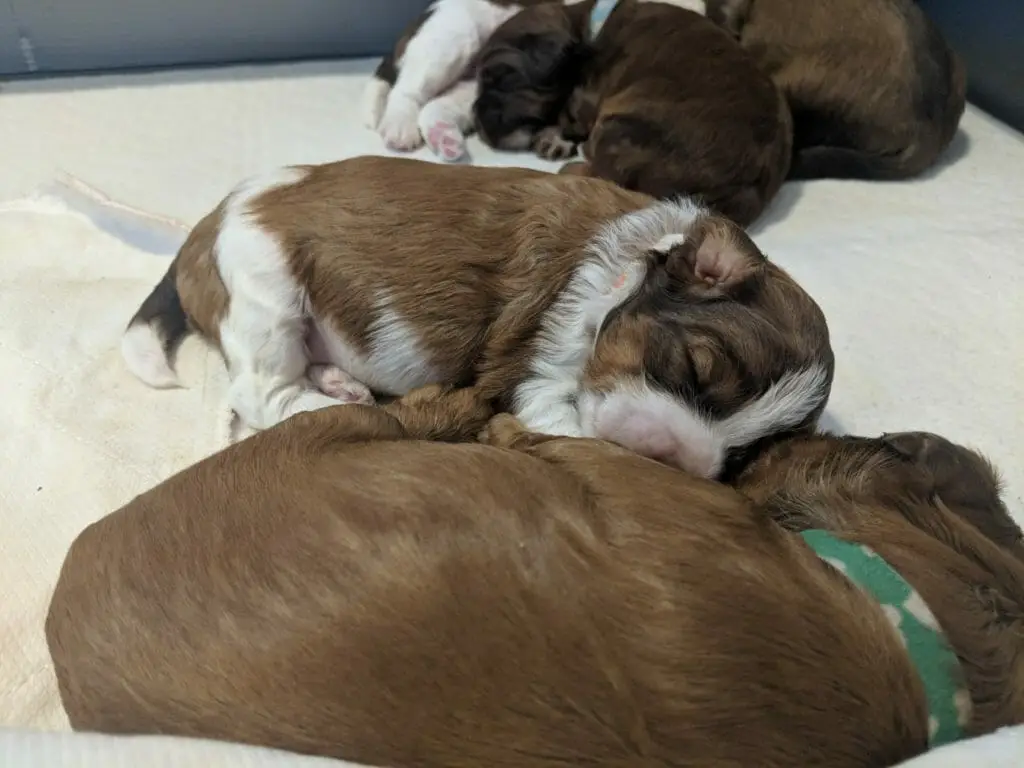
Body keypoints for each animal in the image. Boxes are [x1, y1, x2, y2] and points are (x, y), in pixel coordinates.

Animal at [117, 155, 831, 479]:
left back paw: (342, 383)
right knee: (261, 393)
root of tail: (208, 223)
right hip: (266, 294)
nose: (674, 458)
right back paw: (337, 405)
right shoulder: (540, 367)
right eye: (693, 367)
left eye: (742, 456)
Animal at [471, 0, 790, 228]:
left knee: (604, 174)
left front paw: (552, 136)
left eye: (499, 77)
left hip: (618, 129)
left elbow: (567, 117)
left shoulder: (585, 99)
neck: (586, 30)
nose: (477, 124)